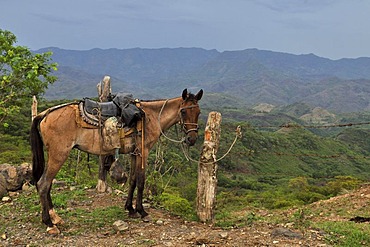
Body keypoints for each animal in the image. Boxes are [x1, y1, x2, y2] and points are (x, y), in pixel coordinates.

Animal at [31, 89, 202, 233]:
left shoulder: (134, 153)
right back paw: (49, 223)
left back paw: (55, 218)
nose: (192, 139)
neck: (151, 117)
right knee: (43, 184)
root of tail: (45, 114)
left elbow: (132, 180)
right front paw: (142, 211)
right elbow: (141, 181)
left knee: (47, 184)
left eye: (198, 112)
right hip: (59, 155)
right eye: (183, 111)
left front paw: (130, 209)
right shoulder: (143, 153)